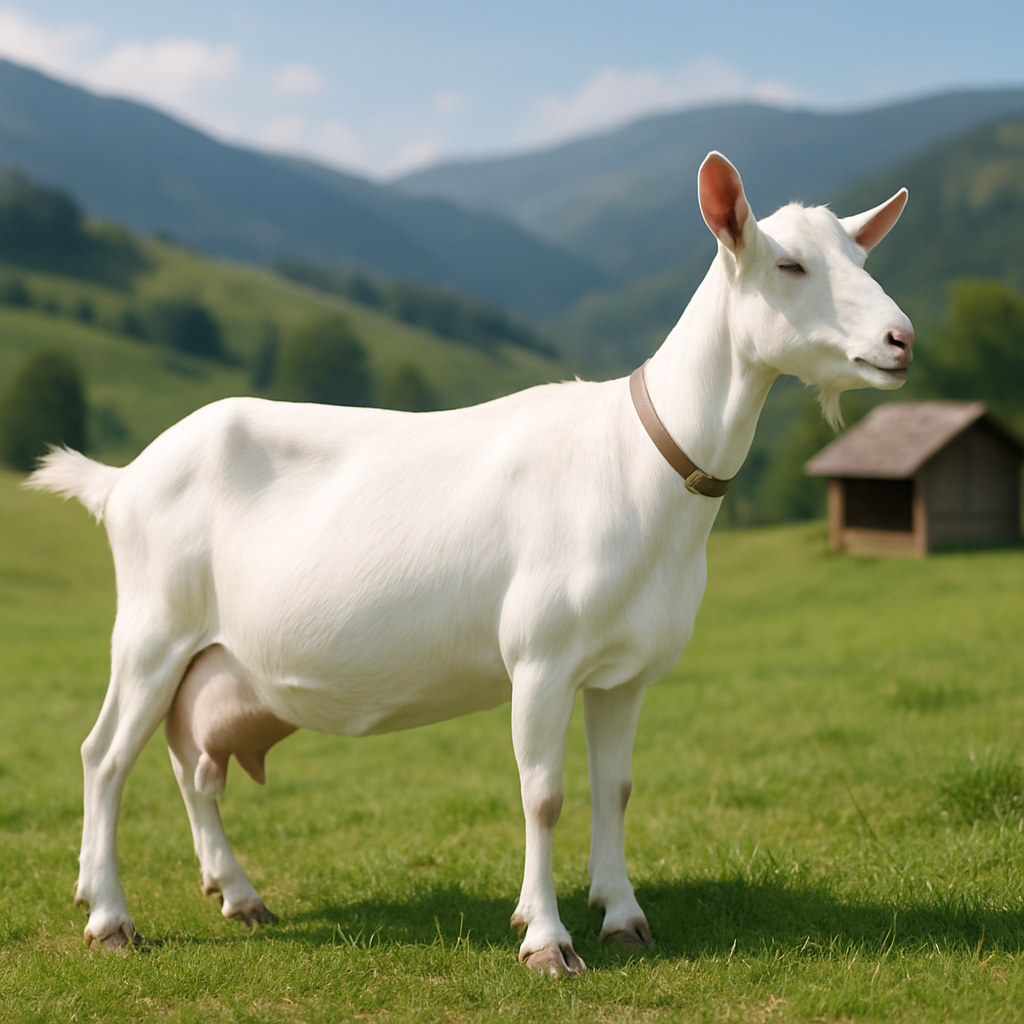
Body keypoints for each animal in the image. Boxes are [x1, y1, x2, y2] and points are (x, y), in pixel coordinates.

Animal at [27, 152, 913, 974]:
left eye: (861, 257)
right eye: (788, 265)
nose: (901, 339)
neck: (639, 465)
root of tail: (124, 479)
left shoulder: (626, 670)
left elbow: (615, 787)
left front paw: (622, 916)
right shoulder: (541, 658)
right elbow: (544, 794)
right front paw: (548, 940)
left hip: (207, 656)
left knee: (191, 763)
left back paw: (237, 894)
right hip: (152, 628)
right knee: (105, 757)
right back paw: (109, 916)